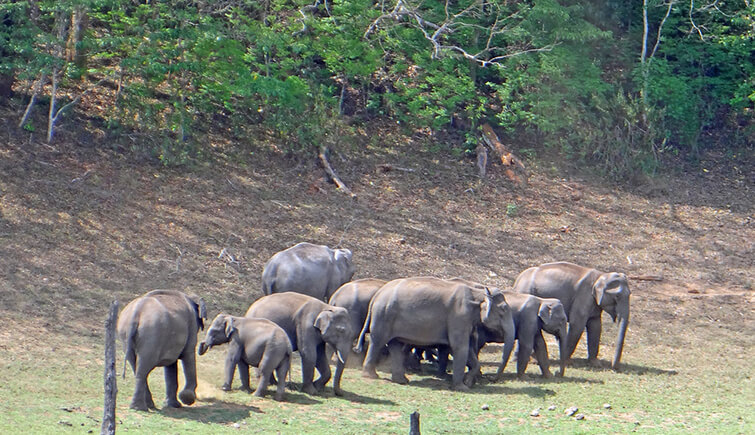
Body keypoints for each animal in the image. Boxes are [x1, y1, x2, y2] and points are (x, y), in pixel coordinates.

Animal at [358, 278, 516, 394]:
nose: (492, 379)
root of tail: (378, 294)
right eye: (503, 309)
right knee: (377, 342)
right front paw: (462, 387)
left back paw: (402, 380)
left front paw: (468, 381)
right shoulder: (459, 316)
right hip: (383, 316)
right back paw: (371, 376)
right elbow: (459, 347)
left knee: (395, 345)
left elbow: (469, 348)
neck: (478, 292)